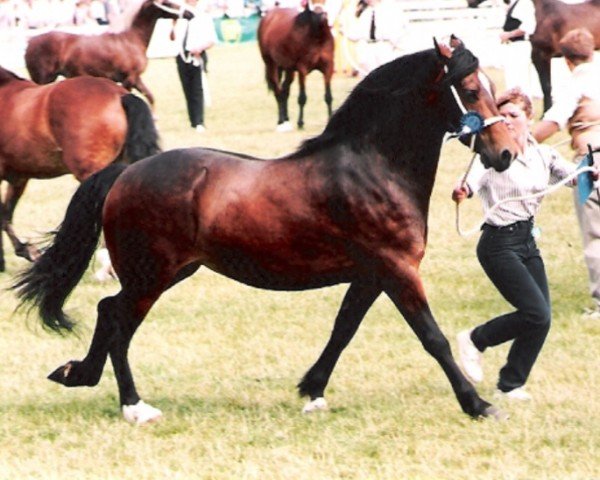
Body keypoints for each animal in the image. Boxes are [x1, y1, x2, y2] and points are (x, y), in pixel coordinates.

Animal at [22, 0, 192, 107]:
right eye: (167, 3)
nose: (190, 14)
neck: (131, 40)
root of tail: (30, 41)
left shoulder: (136, 78)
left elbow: (151, 98)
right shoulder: (128, 79)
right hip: (43, 79)